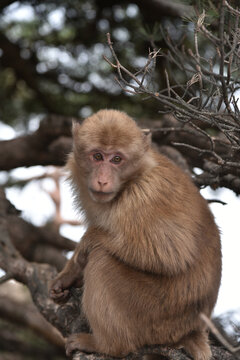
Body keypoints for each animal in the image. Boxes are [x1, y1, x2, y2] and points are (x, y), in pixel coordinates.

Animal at [49, 109, 222, 360]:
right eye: (97, 156)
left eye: (117, 159)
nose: (102, 180)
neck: (130, 181)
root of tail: (192, 329)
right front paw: (68, 276)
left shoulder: (146, 196)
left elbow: (171, 255)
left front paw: (86, 245)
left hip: (155, 316)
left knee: (102, 260)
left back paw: (108, 346)